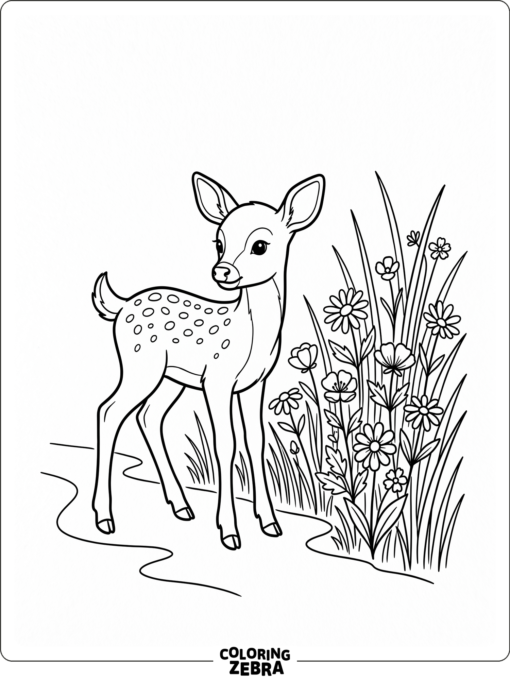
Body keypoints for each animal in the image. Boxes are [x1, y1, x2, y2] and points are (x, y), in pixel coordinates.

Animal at [91, 172, 326, 550]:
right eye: (219, 242)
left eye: (261, 245)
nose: (222, 271)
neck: (252, 335)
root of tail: (121, 305)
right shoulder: (217, 380)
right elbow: (225, 445)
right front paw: (229, 532)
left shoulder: (255, 383)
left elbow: (255, 441)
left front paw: (270, 523)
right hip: (140, 365)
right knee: (109, 411)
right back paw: (104, 518)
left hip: (170, 378)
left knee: (148, 416)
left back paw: (181, 506)